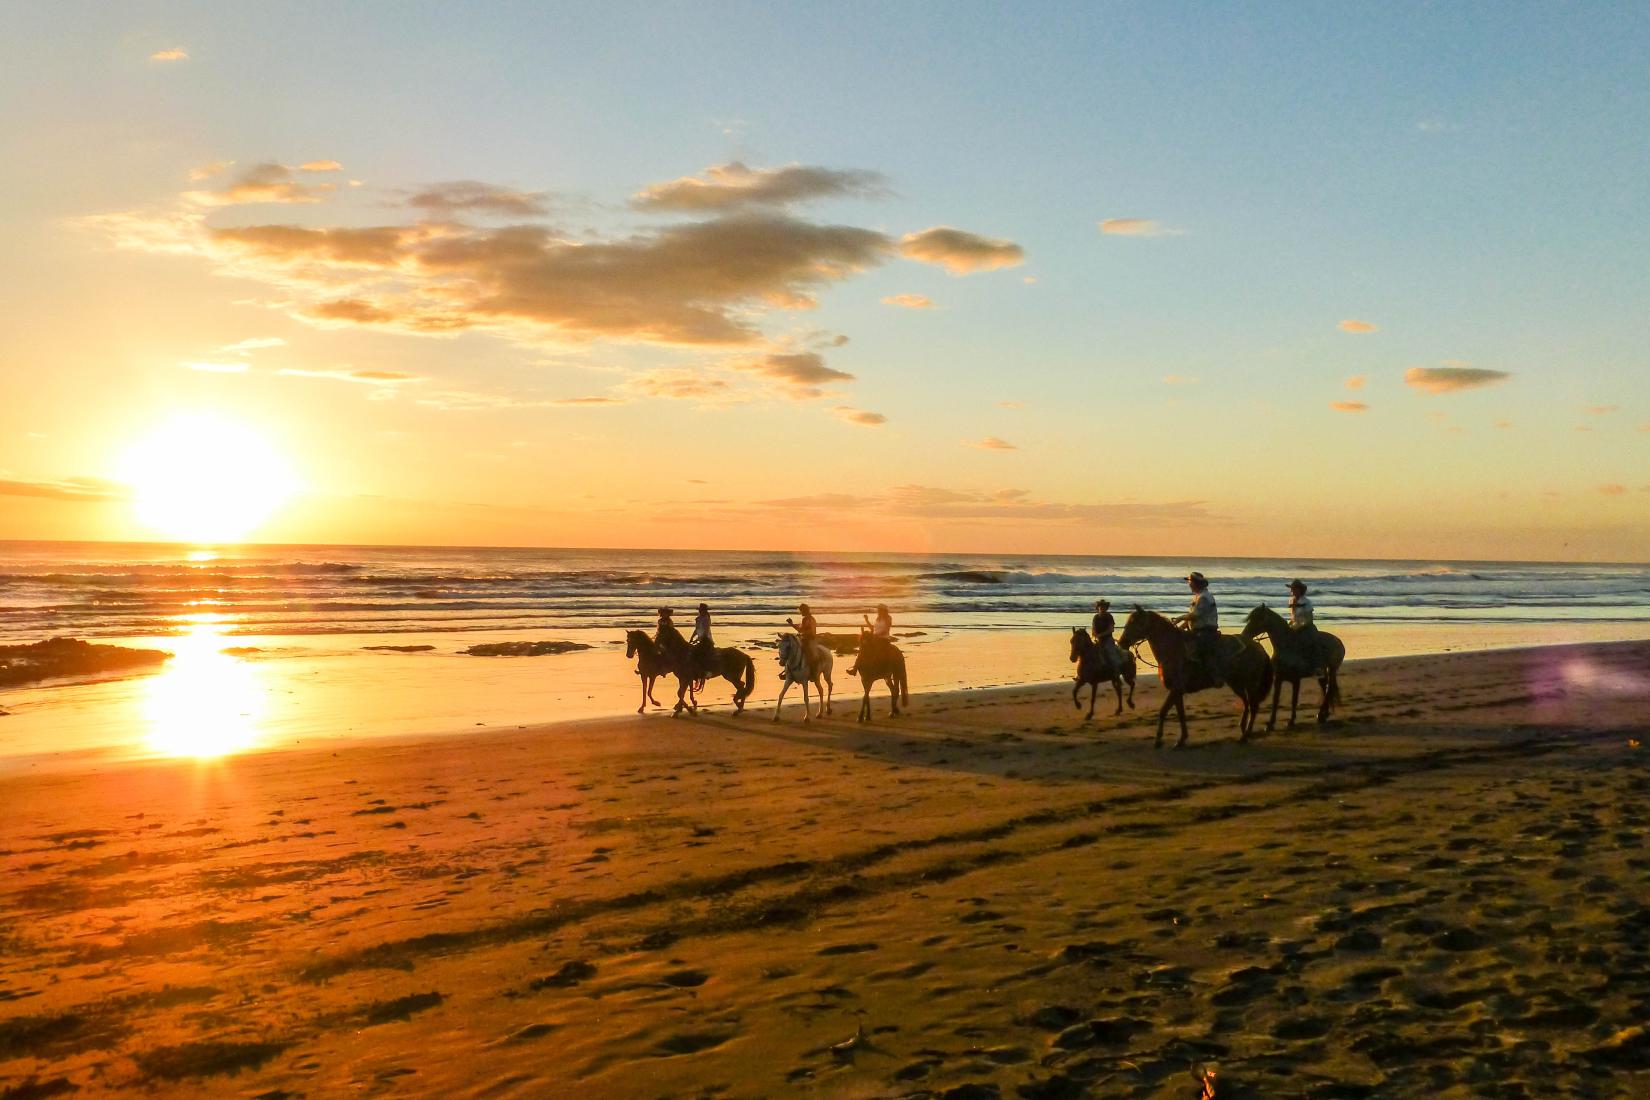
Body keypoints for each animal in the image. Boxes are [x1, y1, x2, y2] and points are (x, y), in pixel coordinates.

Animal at [1122, 603, 1273, 748]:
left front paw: (1158, 740)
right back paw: (1243, 730)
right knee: (1246, 703)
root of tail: (1260, 648)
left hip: (1251, 684)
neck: (1172, 649)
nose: (1122, 642)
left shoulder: (1176, 689)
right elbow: (1181, 714)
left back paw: (1245, 736)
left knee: (1253, 706)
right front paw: (1181, 740)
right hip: (1236, 683)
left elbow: (1163, 711)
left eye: (1135, 622)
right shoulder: (1177, 692)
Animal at [1240, 603, 1346, 732]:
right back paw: (1323, 714)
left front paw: (1291, 721)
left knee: (1329, 689)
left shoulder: (1296, 680)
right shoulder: (1278, 679)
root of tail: (1339, 642)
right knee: (1325, 688)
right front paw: (1270, 724)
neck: (1287, 646)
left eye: (1258, 619)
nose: (1244, 634)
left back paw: (1321, 715)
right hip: (1323, 672)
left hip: (1332, 669)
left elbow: (1294, 700)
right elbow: (1275, 700)